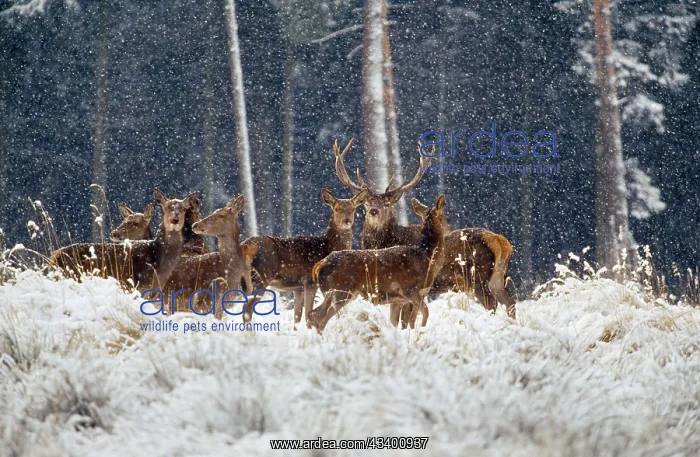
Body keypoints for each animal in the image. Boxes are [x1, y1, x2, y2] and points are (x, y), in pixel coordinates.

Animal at [239, 187, 369, 326]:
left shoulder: (298, 288)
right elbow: (308, 314)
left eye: (352, 208)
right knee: (246, 309)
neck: (326, 247)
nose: (346, 221)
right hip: (261, 276)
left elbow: (297, 317)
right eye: (336, 209)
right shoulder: (309, 282)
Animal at [307, 194, 451, 333]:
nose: (450, 228)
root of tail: (320, 264)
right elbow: (424, 314)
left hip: (334, 292)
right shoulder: (410, 290)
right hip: (340, 290)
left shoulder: (400, 299)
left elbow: (401, 322)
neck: (427, 258)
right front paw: (422, 331)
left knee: (313, 315)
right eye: (445, 217)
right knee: (319, 318)